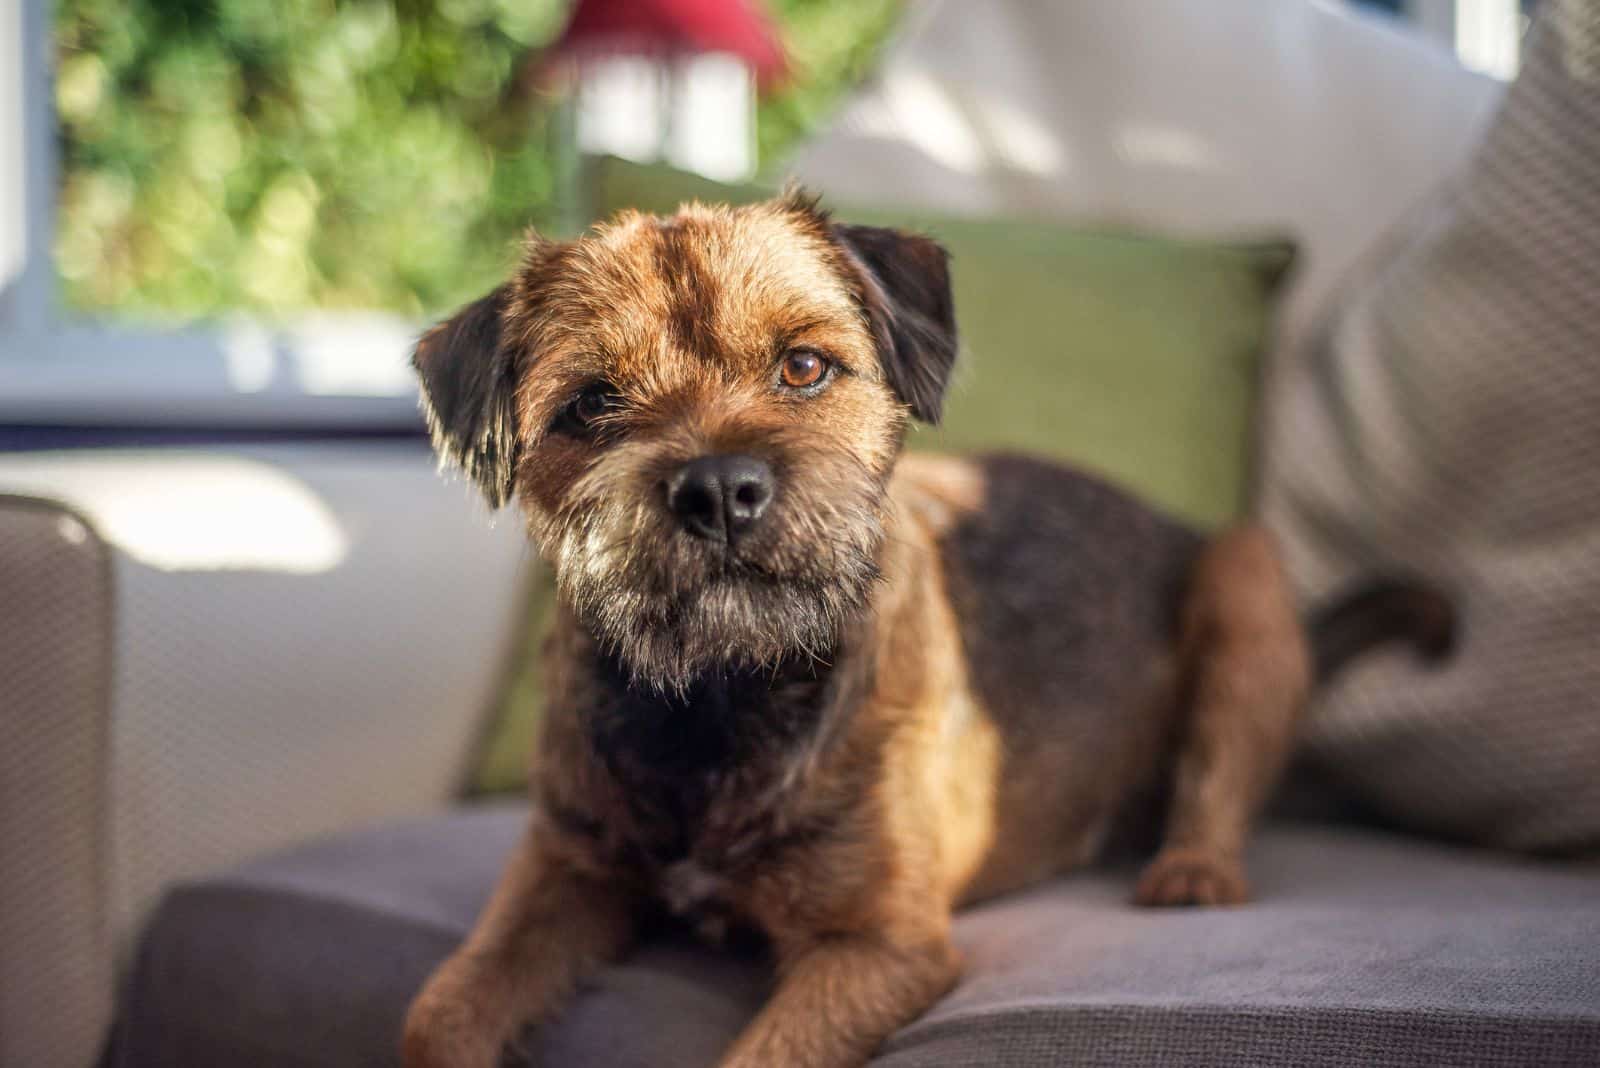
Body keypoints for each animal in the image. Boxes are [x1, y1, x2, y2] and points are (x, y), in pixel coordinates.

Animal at [396, 194, 1452, 1068]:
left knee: (1218, 782)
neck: (719, 703)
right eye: (592, 404)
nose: (720, 488)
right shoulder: (563, 872)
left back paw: (1189, 869)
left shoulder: (878, 947)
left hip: (1245, 581)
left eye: (804, 365)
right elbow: (438, 1014)